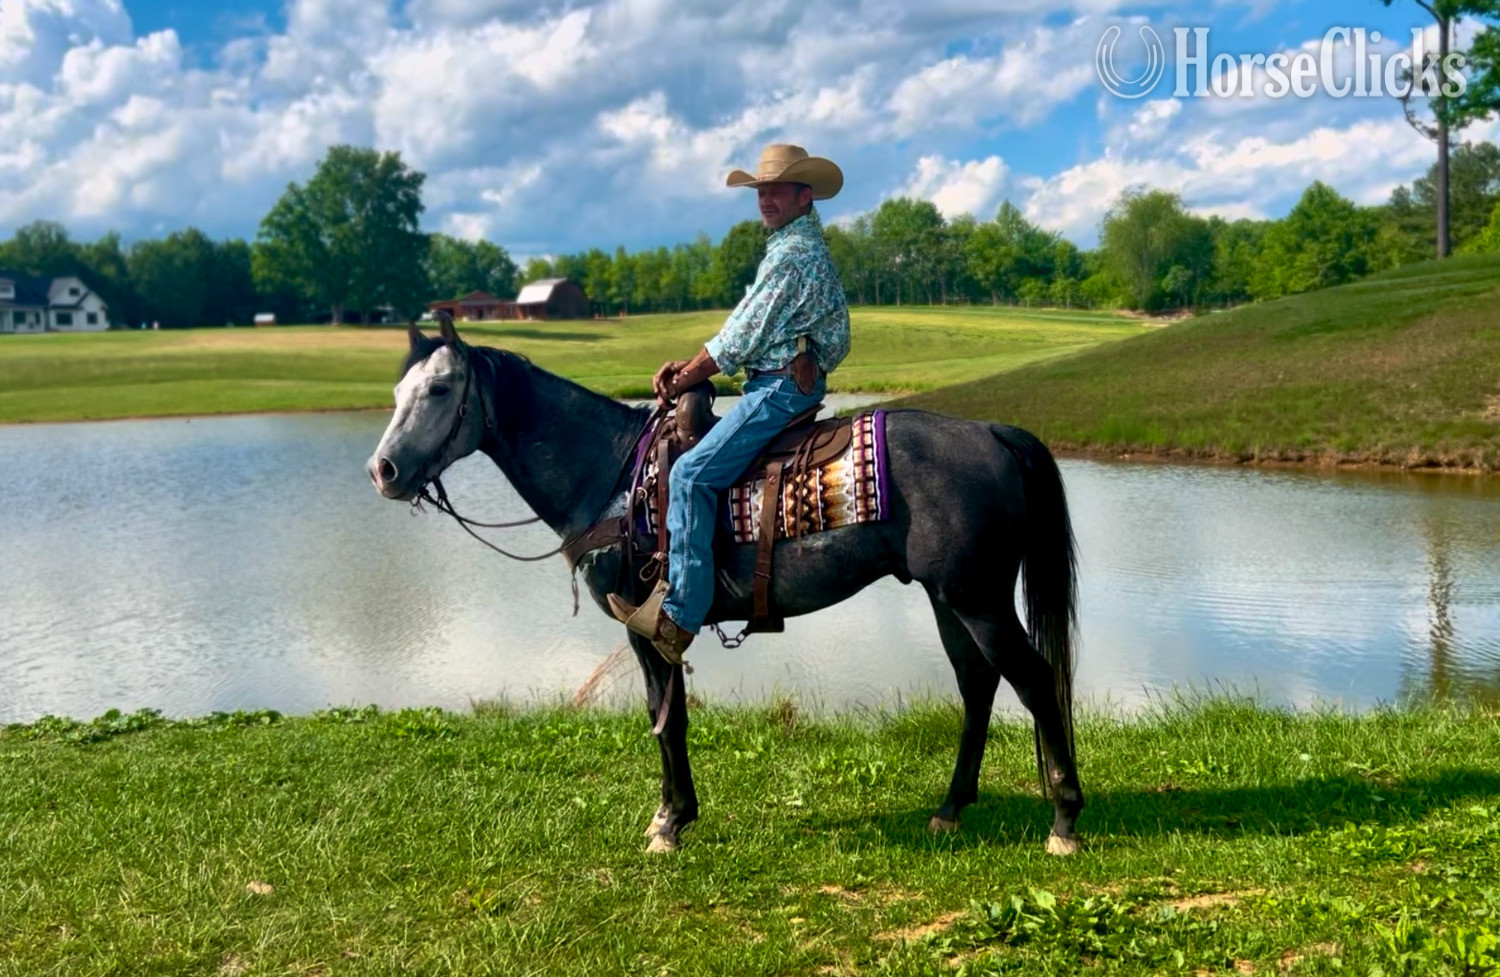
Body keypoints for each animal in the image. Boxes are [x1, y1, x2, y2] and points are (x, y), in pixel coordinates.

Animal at [367, 316, 1084, 855]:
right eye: (398, 389)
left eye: (440, 389)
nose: (384, 470)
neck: (612, 475)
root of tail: (991, 431)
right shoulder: (657, 631)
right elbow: (670, 716)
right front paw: (674, 815)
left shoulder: (646, 625)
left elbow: (665, 719)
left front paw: (668, 823)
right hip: (948, 599)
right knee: (978, 685)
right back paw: (951, 807)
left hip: (978, 600)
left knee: (1033, 679)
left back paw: (1064, 819)